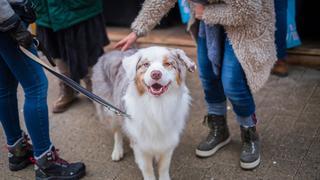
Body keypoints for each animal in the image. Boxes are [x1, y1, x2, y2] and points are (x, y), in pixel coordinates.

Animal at [92, 46, 195, 180]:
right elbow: (147, 169)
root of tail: (110, 52)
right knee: (117, 131)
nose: (155, 74)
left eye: (168, 64)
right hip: (111, 110)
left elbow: (164, 167)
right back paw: (117, 151)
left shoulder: (168, 140)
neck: (157, 106)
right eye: (146, 64)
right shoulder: (141, 145)